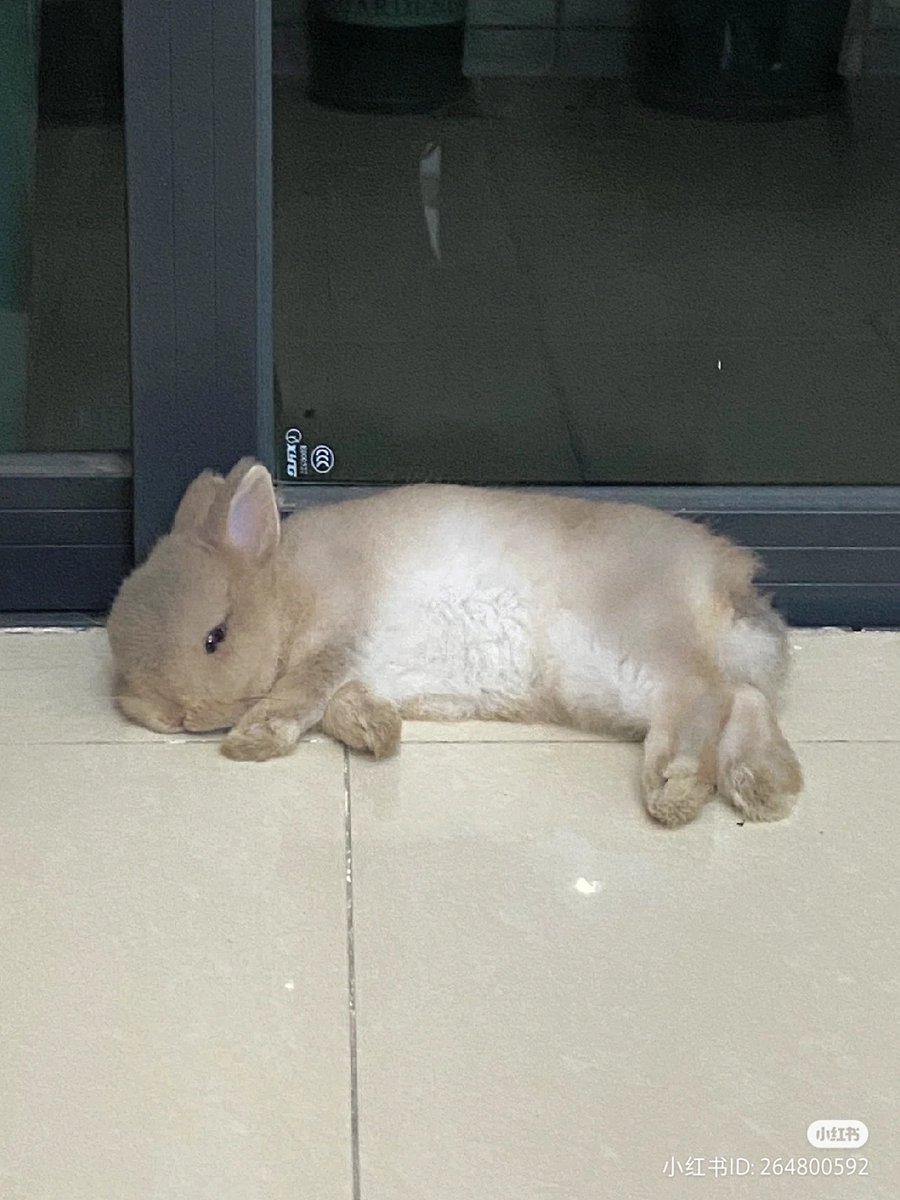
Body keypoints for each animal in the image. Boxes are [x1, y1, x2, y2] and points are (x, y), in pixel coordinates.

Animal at [107, 457, 803, 827]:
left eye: (215, 637)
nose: (169, 715)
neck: (283, 591)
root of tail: (723, 578)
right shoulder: (359, 672)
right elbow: (341, 706)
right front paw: (380, 734)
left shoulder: (338, 639)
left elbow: (303, 692)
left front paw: (253, 739)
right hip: (603, 684)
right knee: (741, 695)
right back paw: (765, 786)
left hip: (633, 643)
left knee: (703, 695)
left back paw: (677, 789)